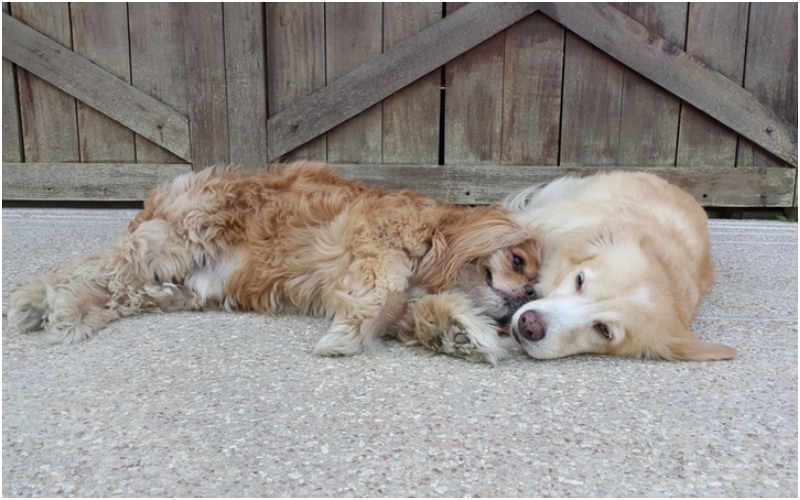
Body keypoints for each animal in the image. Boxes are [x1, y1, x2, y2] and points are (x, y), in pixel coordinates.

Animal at [7, 163, 536, 364]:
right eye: (518, 260)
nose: (529, 295)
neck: (433, 236)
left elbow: (420, 313)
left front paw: (460, 333)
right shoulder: (375, 247)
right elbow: (384, 291)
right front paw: (344, 338)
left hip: (170, 289)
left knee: (112, 290)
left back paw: (64, 311)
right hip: (169, 244)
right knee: (87, 267)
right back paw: (35, 302)